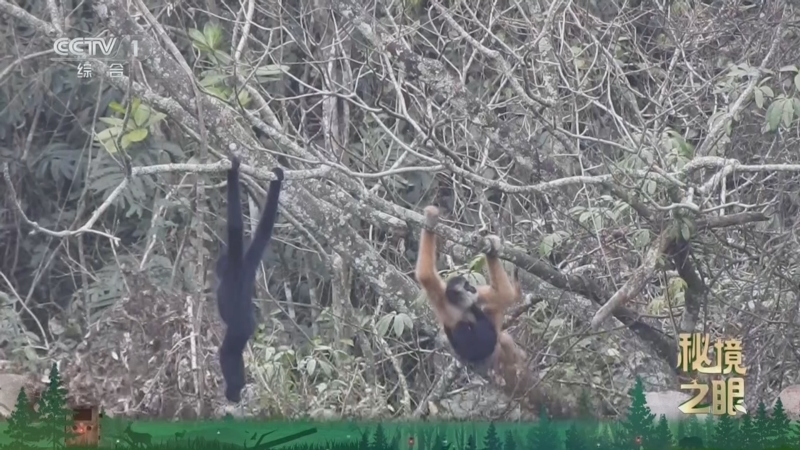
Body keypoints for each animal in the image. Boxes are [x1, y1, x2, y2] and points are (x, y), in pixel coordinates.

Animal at [215, 156, 283, 403]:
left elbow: (235, 226)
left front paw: (233, 171)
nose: (216, 270)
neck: (237, 269)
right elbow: (264, 231)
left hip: (238, 331)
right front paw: (277, 179)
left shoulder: (237, 260)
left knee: (228, 353)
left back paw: (234, 390)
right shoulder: (249, 260)